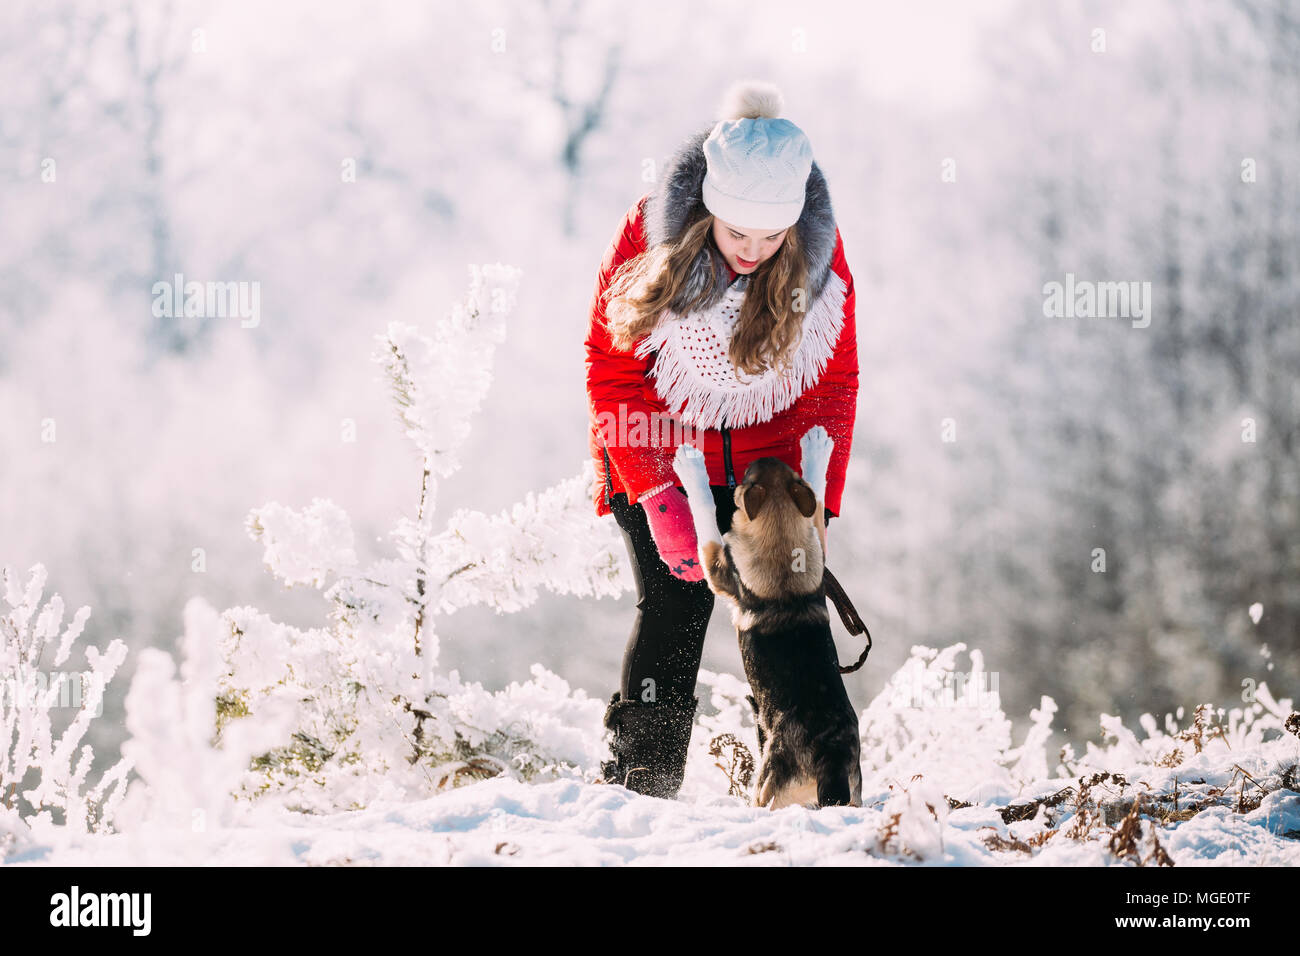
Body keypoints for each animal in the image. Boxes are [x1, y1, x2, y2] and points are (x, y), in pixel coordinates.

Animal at [670, 426, 863, 806]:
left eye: (745, 477)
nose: (763, 453)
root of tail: (830, 759)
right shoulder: (816, 542)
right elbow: (816, 503)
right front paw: (817, 449)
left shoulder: (718, 569)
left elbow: (705, 516)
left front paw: (691, 465)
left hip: (767, 782)